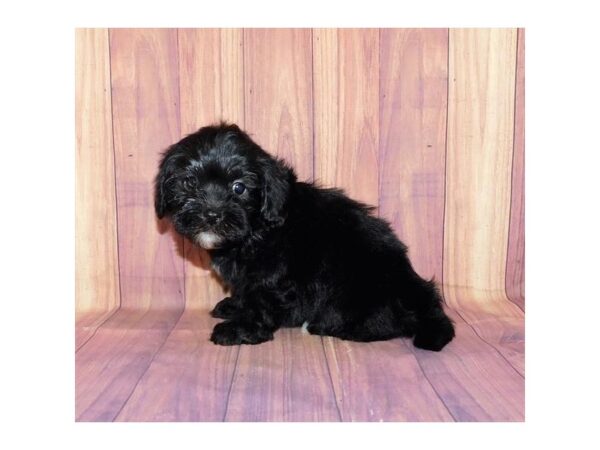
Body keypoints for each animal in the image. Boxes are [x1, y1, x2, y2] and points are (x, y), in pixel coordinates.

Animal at [155, 123, 454, 352]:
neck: (256, 230)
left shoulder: (273, 276)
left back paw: (328, 325)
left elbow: (260, 301)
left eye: (239, 188)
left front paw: (241, 329)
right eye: (189, 183)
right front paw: (233, 306)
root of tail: (420, 294)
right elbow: (244, 292)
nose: (212, 214)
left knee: (386, 323)